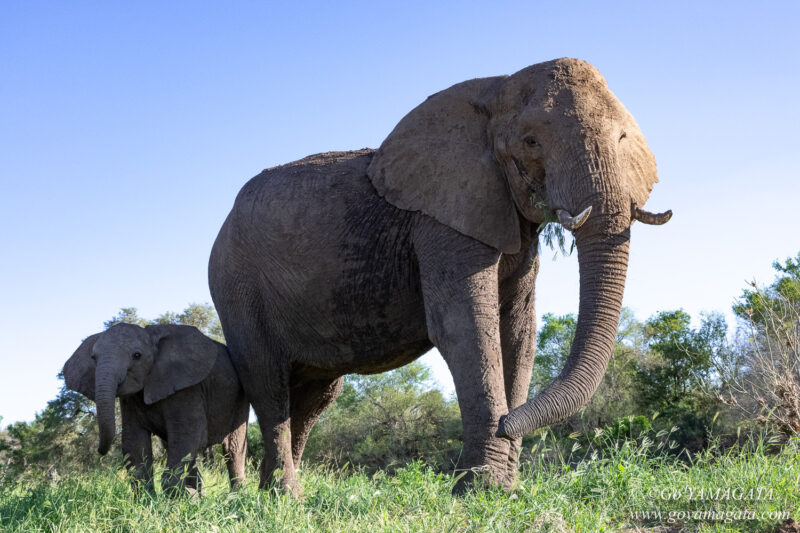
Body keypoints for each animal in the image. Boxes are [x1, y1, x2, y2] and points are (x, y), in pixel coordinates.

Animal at [63, 322, 247, 492]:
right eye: (93, 358)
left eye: (137, 356)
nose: (100, 451)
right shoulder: (131, 398)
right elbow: (134, 442)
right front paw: (148, 502)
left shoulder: (187, 388)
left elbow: (189, 436)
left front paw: (174, 501)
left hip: (238, 401)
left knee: (232, 451)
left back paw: (235, 498)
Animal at [209, 58, 672, 494]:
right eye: (531, 141)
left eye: (622, 139)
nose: (507, 423)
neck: (494, 90)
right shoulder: (440, 222)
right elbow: (464, 327)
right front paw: (479, 489)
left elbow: (519, 334)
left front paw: (506, 488)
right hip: (235, 283)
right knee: (268, 381)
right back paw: (285, 495)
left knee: (316, 394)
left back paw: (280, 492)